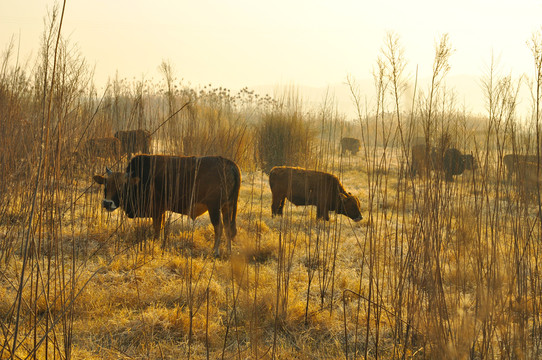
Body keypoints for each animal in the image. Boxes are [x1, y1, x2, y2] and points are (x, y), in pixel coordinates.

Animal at [93, 154, 242, 256]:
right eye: (106, 184)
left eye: (121, 186)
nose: (107, 203)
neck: (141, 178)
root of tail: (229, 164)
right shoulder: (162, 211)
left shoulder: (156, 211)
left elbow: (156, 229)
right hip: (227, 207)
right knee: (228, 228)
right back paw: (229, 251)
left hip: (214, 208)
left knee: (219, 227)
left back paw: (215, 251)